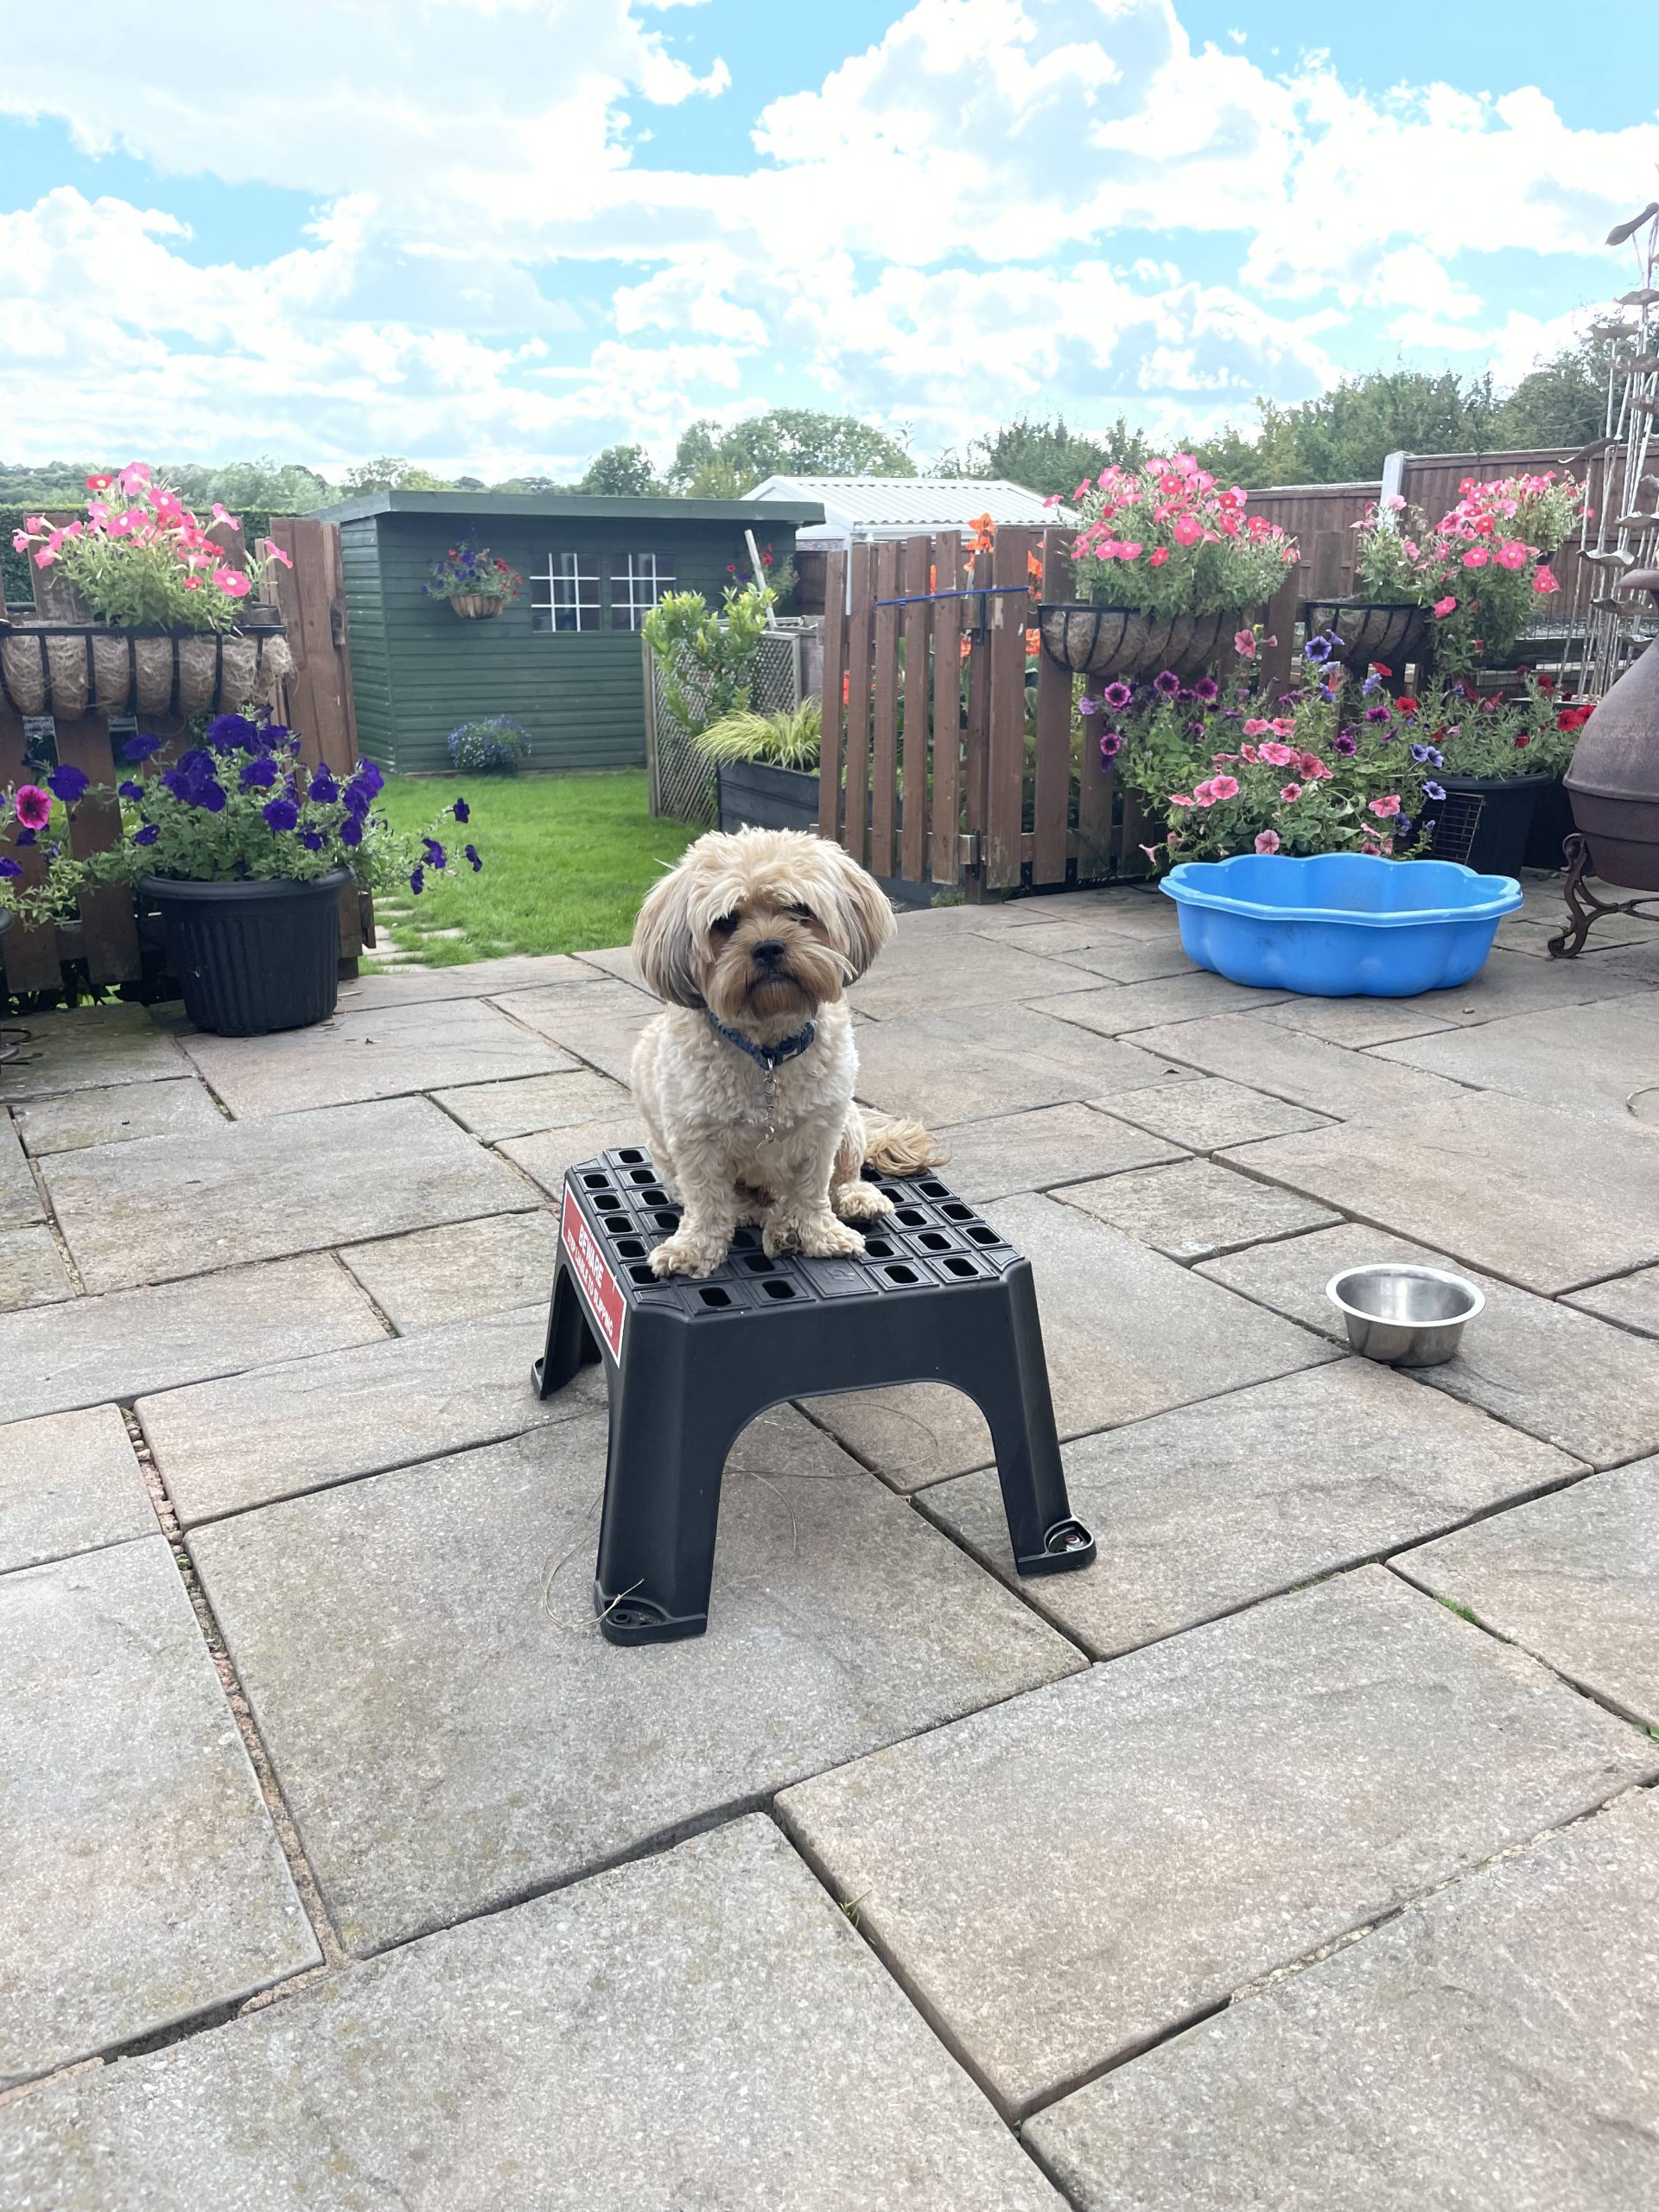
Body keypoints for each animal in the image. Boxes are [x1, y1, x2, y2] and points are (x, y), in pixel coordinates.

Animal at [629, 826, 940, 1278]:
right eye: (725, 922)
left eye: (799, 908)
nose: (768, 947)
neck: (768, 1052)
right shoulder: (694, 1140)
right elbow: (708, 1203)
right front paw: (694, 1249)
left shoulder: (821, 1131)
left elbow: (811, 1190)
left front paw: (820, 1235)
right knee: (748, 1206)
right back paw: (774, 1225)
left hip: (848, 1123)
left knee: (841, 1179)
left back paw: (850, 1203)